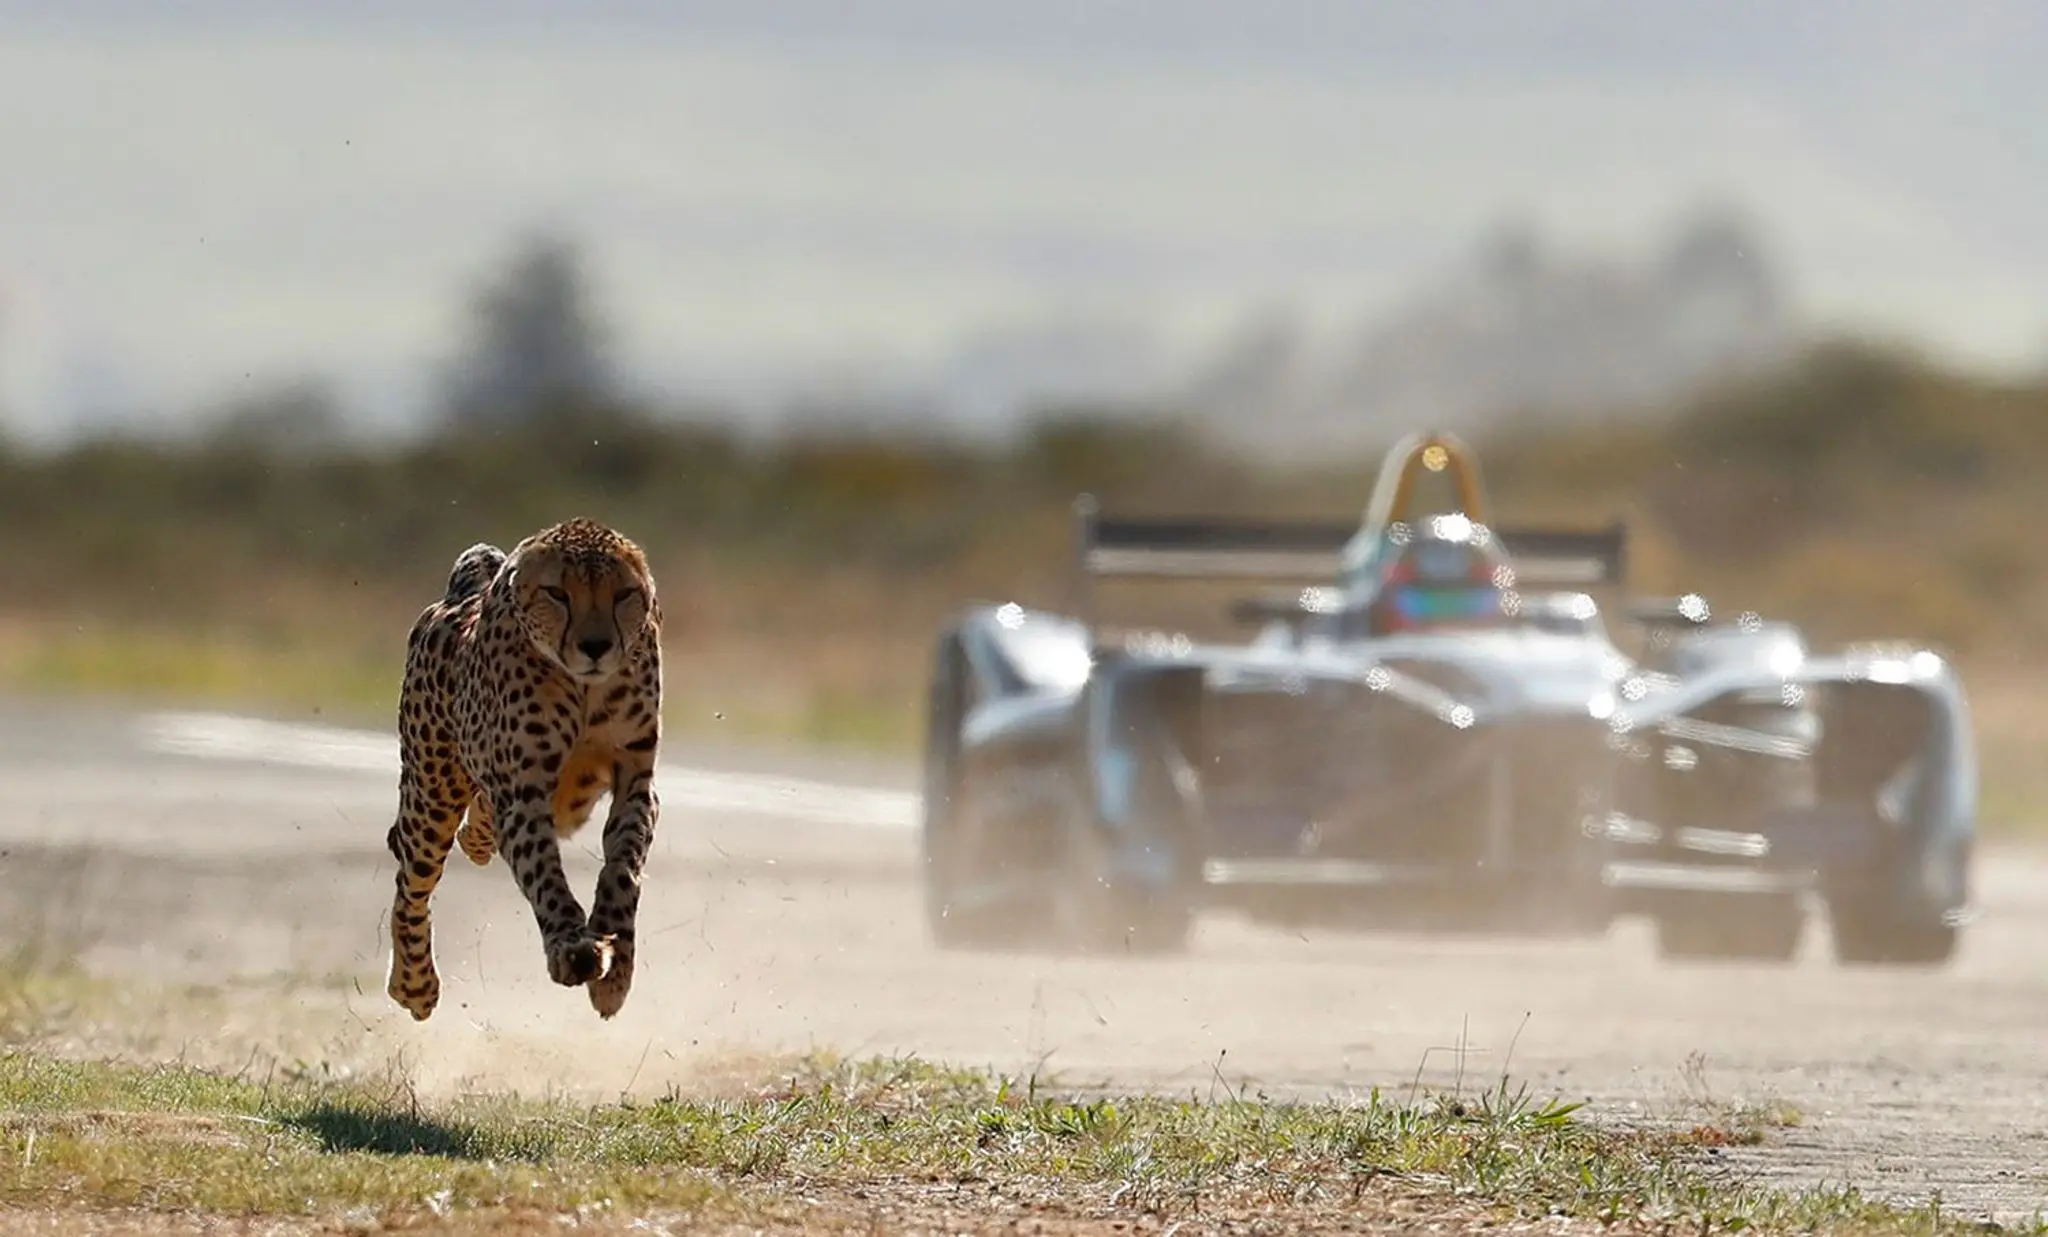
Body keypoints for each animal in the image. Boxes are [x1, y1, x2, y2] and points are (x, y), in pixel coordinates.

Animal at [383, 516, 664, 1022]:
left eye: (623, 594)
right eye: (557, 594)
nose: (596, 646)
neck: (584, 688)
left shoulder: (636, 783)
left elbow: (623, 868)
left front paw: (615, 967)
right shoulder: (522, 792)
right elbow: (543, 871)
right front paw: (572, 945)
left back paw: (475, 841)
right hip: (431, 796)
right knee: (411, 882)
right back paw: (413, 984)